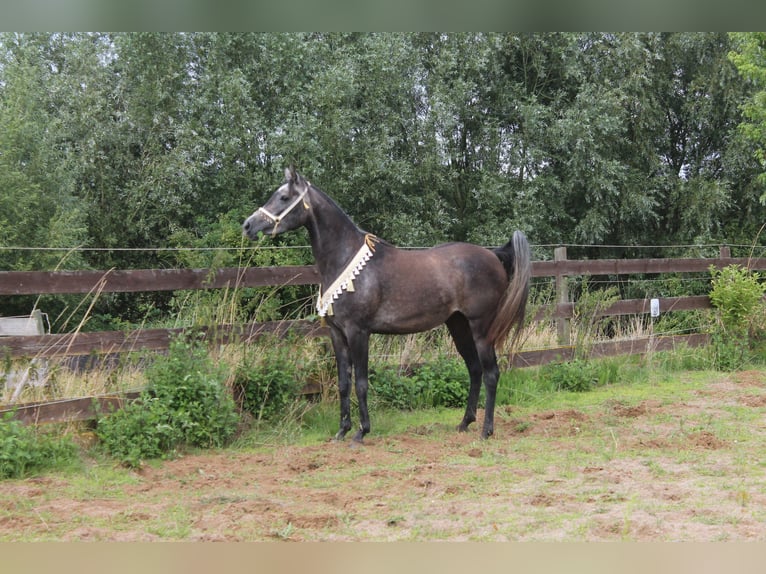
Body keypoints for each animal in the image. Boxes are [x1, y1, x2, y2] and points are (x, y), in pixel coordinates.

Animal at [243, 166, 531, 443]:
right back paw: (464, 423)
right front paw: (342, 431)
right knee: (474, 369)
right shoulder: (337, 334)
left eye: (283, 197)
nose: (248, 225)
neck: (346, 260)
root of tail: (493, 255)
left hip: (481, 329)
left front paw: (361, 431)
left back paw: (486, 431)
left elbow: (361, 382)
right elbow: (343, 382)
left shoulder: (358, 332)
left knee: (491, 373)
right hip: (458, 325)